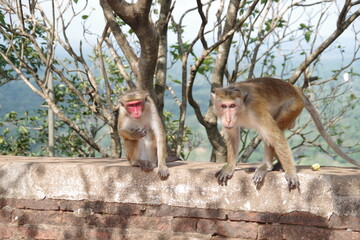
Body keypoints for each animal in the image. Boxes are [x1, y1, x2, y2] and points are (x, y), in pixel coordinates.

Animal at [212, 78, 360, 190]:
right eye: (224, 106)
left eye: (232, 106)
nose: (228, 118)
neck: (242, 109)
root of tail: (296, 89)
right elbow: (233, 136)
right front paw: (229, 167)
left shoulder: (256, 109)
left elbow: (275, 135)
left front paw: (291, 172)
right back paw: (274, 165)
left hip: (293, 107)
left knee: (272, 131)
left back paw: (267, 166)